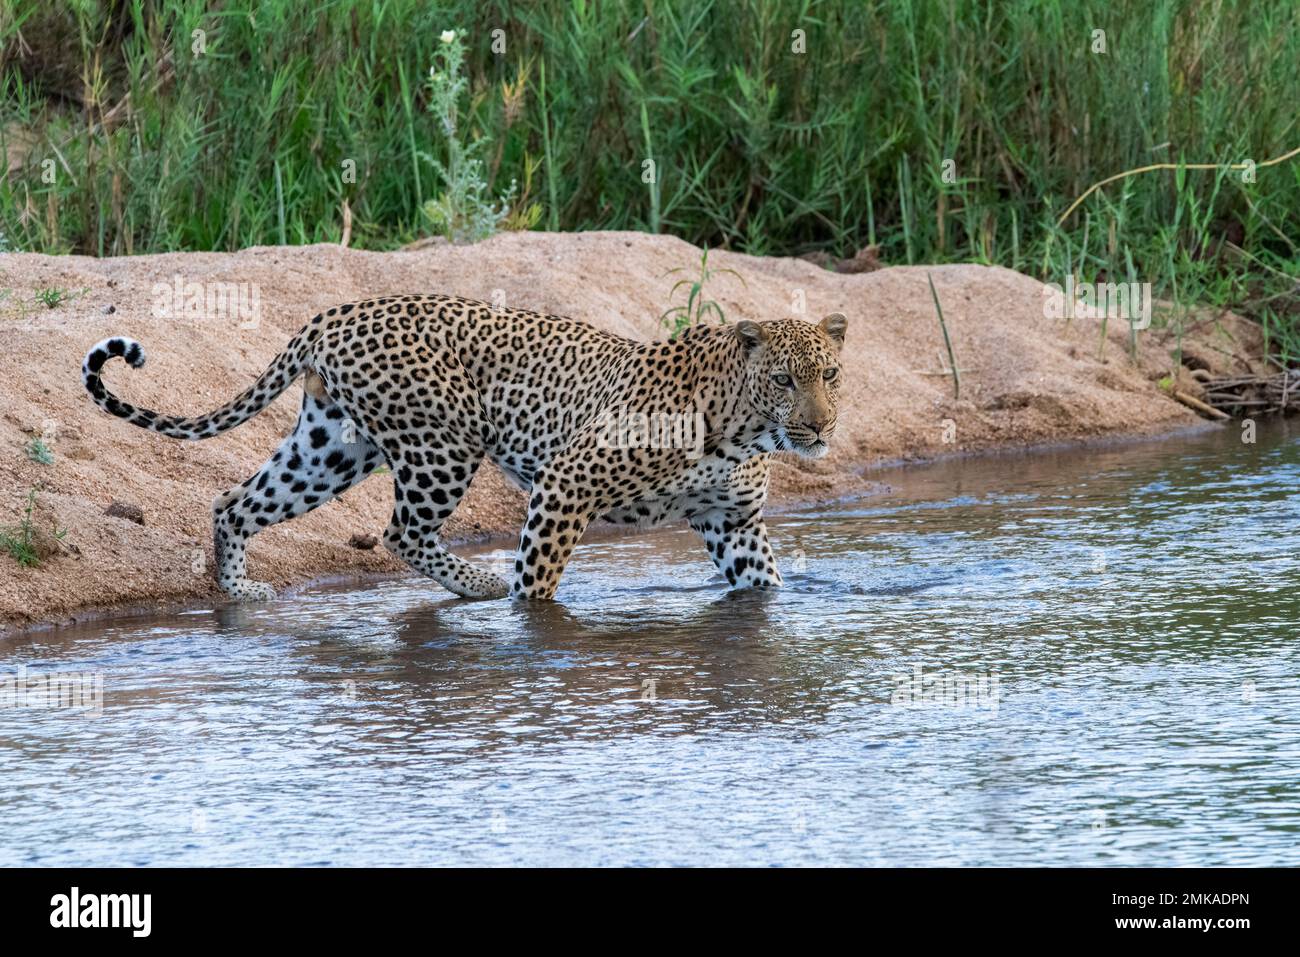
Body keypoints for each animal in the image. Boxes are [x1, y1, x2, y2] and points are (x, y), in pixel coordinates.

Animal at [83, 295, 852, 600]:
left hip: (331, 447)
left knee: (237, 500)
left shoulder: (733, 521)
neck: (741, 429)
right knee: (400, 531)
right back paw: (483, 586)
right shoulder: (566, 483)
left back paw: (240, 592)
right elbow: (537, 583)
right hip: (443, 444)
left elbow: (764, 583)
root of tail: (335, 313)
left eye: (831, 374)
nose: (820, 428)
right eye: (785, 379)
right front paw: (526, 615)